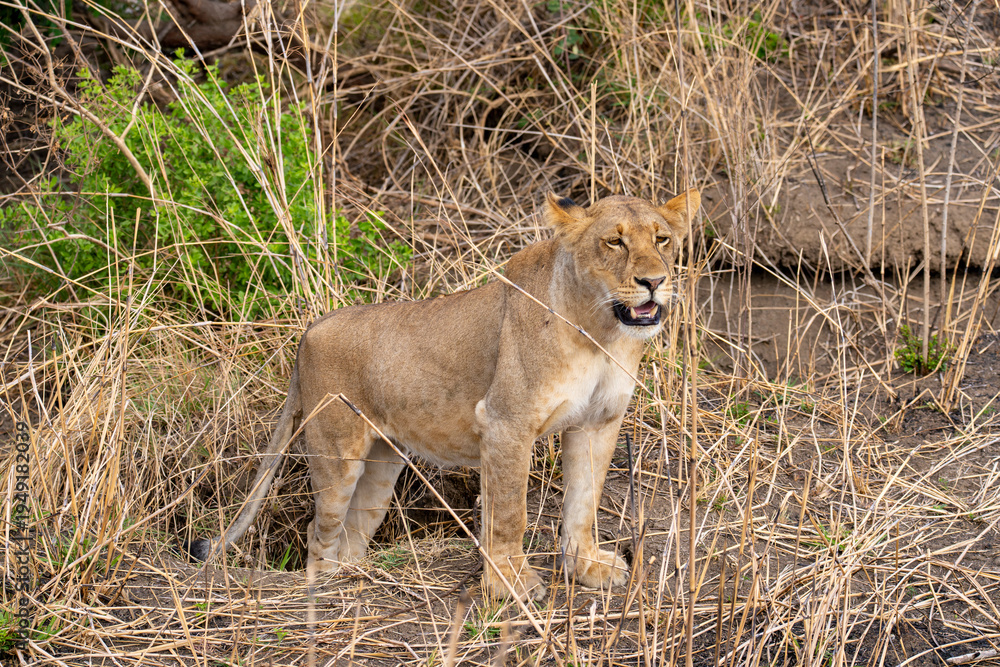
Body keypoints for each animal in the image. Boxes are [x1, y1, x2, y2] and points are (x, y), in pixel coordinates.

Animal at [185, 189, 700, 600]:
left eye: (662, 240)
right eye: (614, 241)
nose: (654, 282)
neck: (600, 332)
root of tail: (311, 329)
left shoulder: (597, 423)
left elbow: (584, 503)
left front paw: (587, 567)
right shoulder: (506, 423)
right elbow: (508, 513)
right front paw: (510, 584)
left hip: (382, 462)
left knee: (353, 531)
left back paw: (357, 579)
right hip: (335, 453)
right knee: (318, 530)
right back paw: (326, 587)